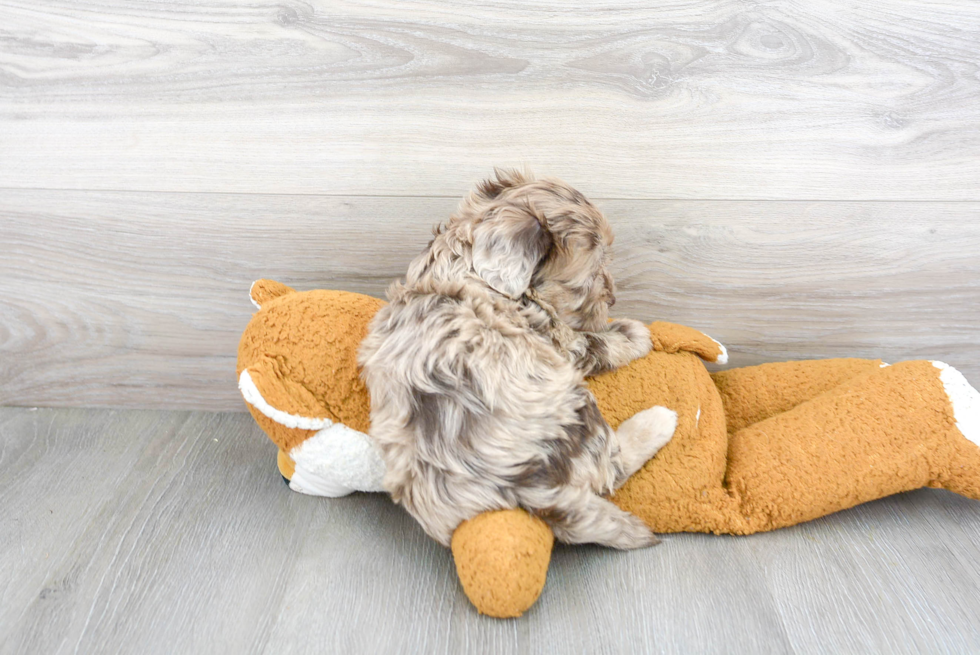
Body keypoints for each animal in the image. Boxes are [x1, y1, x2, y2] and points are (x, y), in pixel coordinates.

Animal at [356, 169, 676, 548]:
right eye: (593, 274)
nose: (612, 299)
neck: (460, 263)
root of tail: (530, 495)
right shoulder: (557, 341)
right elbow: (592, 343)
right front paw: (631, 333)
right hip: (575, 409)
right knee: (614, 465)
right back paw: (656, 421)